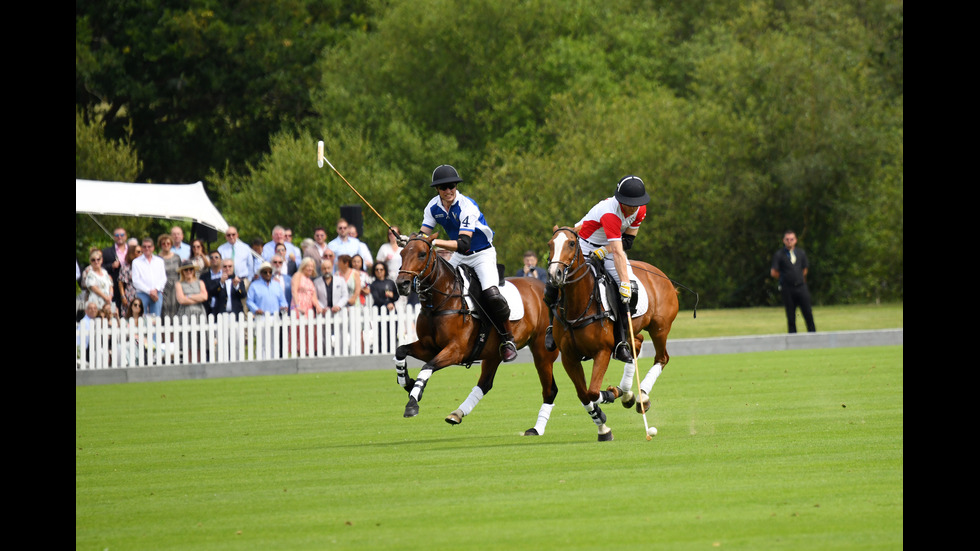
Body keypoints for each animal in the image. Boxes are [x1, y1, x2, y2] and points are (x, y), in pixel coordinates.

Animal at [390, 233, 560, 436]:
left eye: (422, 254)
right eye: (402, 253)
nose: (402, 284)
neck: (442, 300)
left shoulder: (456, 350)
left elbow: (427, 367)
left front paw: (412, 402)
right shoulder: (429, 347)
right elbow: (400, 351)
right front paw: (407, 382)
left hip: (542, 351)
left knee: (550, 389)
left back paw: (536, 429)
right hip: (494, 353)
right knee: (485, 383)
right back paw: (457, 414)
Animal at [548, 226, 676, 442]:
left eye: (571, 243)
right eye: (550, 244)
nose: (554, 274)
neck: (579, 307)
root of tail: (661, 275)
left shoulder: (603, 351)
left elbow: (592, 391)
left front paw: (609, 395)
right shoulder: (568, 357)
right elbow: (583, 394)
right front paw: (603, 427)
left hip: (660, 327)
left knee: (662, 357)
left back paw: (641, 397)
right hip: (634, 330)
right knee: (636, 346)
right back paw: (627, 393)